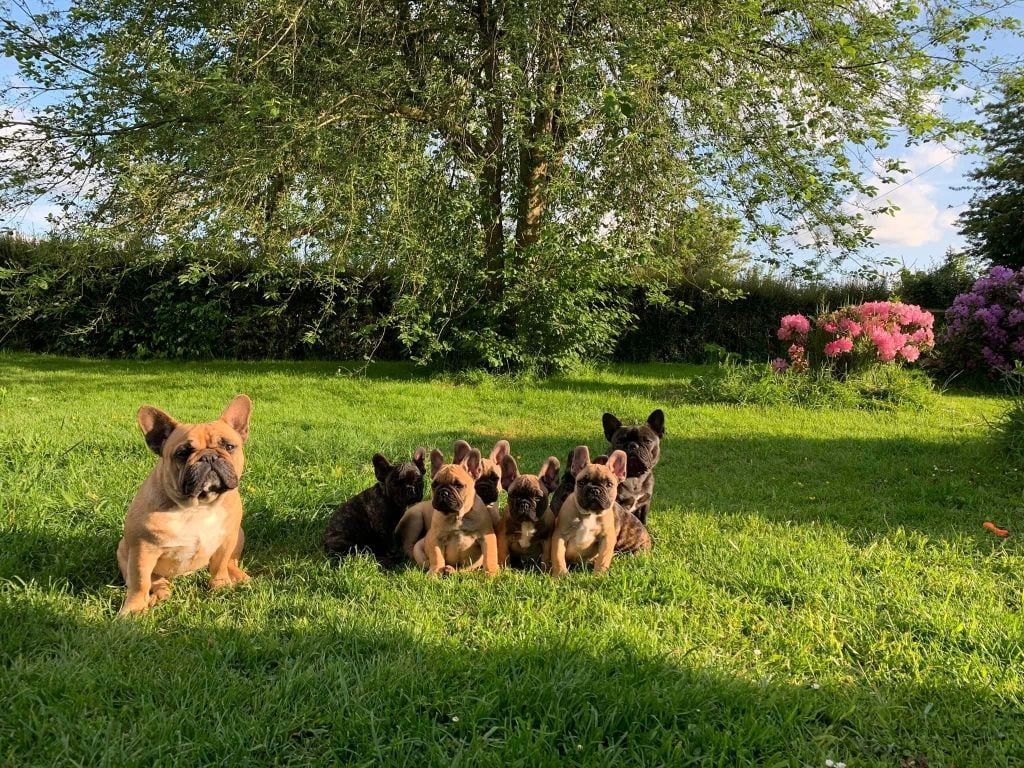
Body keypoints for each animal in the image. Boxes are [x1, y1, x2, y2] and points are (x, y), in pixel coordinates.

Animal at [115, 397, 250, 618]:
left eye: (229, 446)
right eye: (182, 453)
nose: (209, 457)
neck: (198, 506)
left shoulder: (227, 539)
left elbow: (220, 564)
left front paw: (220, 585)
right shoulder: (143, 550)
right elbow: (140, 583)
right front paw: (133, 609)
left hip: (239, 534)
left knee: (231, 561)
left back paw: (239, 576)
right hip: (124, 550)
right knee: (154, 581)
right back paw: (161, 593)